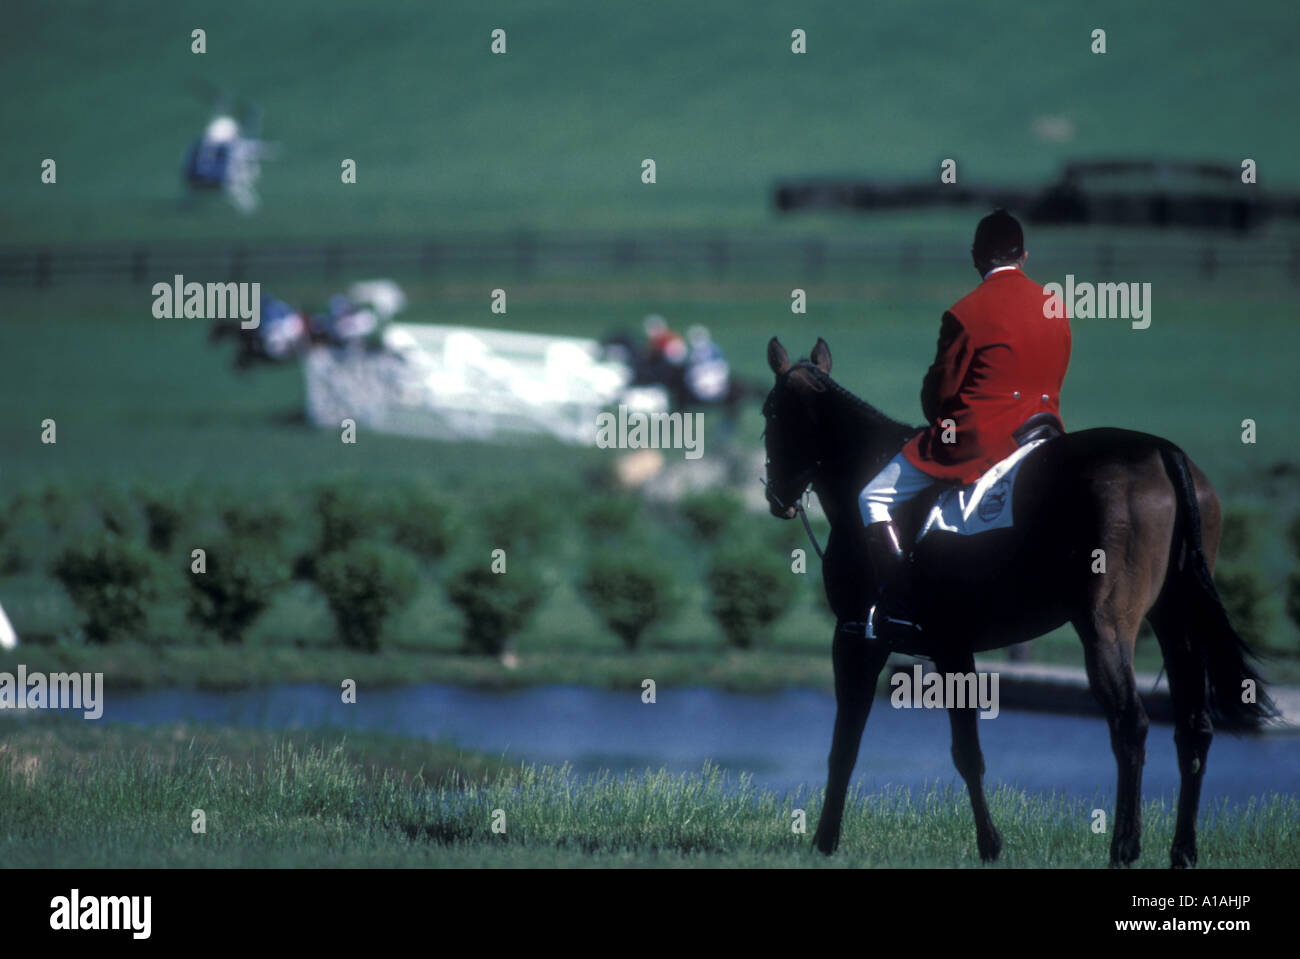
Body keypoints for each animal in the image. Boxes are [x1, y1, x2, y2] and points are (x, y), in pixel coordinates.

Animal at [759, 335, 1279, 868]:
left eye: (768, 412)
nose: (777, 496)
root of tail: (1163, 452)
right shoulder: (951, 648)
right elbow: (968, 752)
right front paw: (990, 845)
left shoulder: (857, 640)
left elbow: (846, 745)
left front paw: (824, 842)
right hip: (1177, 624)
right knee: (1193, 727)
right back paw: (1183, 851)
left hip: (1105, 628)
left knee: (1130, 725)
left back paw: (1123, 848)